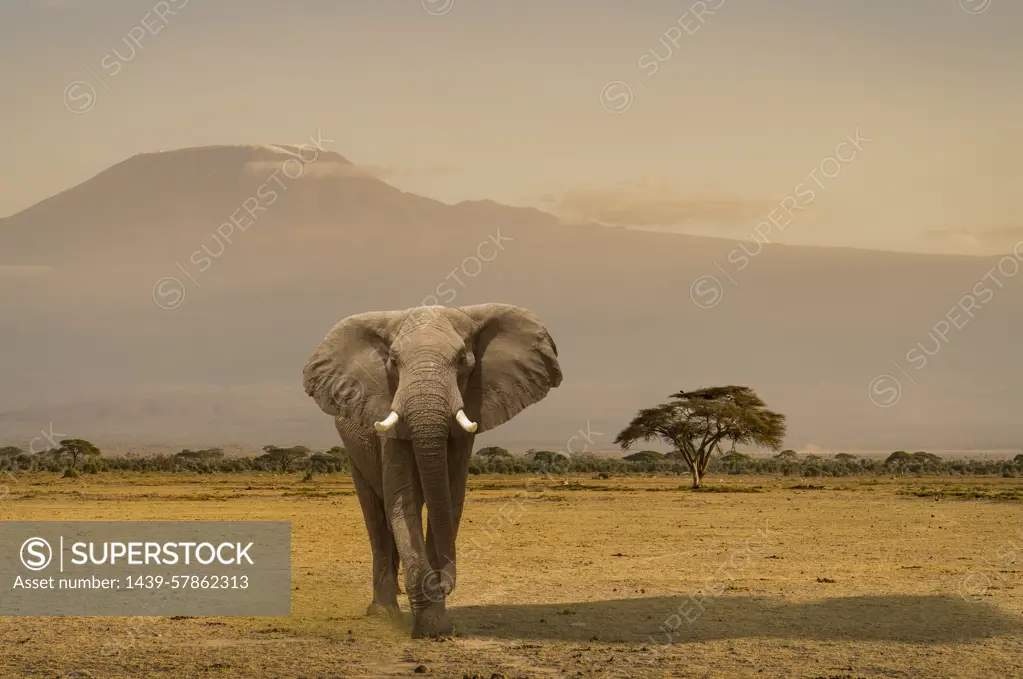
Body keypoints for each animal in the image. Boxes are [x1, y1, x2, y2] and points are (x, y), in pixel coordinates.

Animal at [298, 302, 564, 638]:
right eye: (393, 362)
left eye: (462, 361)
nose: (445, 584)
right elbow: (403, 500)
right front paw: (431, 628)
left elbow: (449, 499)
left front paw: (438, 625)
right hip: (351, 446)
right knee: (376, 517)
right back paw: (384, 613)